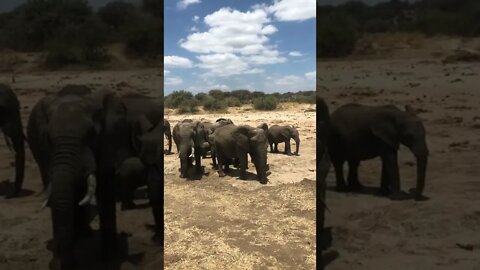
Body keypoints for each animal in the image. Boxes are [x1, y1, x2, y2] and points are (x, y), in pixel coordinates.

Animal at [27, 87, 129, 268]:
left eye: (91, 134)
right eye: (47, 138)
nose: (66, 265)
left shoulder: (108, 142)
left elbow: (105, 192)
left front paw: (109, 260)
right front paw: (58, 264)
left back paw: (85, 234)